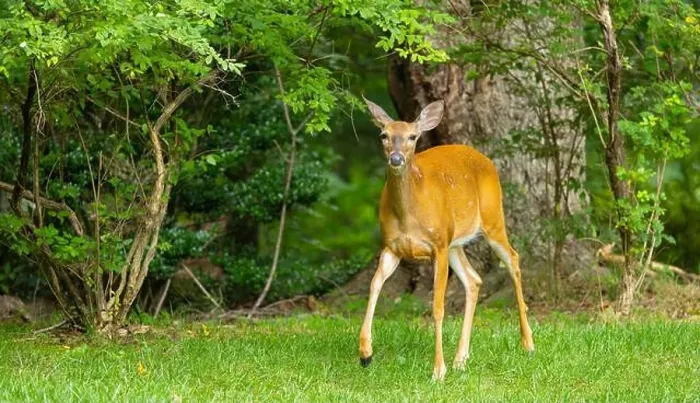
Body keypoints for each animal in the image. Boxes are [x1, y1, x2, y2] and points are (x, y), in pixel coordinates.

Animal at [359, 97, 535, 381]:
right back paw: (461, 359)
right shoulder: (391, 247)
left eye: (413, 136)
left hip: (492, 218)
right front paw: (365, 353)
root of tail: (484, 158)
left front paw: (437, 371)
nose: (396, 158)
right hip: (455, 242)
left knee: (513, 259)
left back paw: (527, 343)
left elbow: (437, 306)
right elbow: (374, 285)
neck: (409, 214)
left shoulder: (437, 246)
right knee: (473, 280)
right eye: (384, 135)